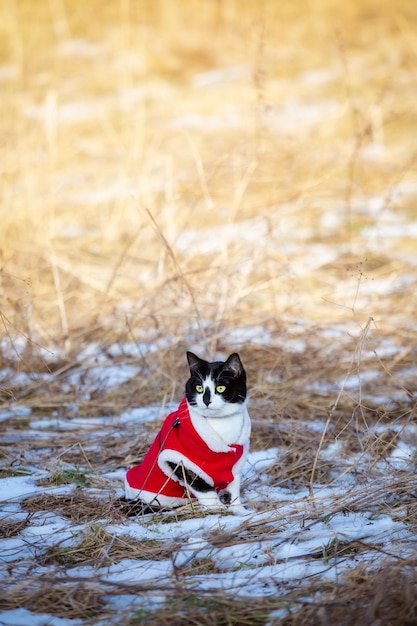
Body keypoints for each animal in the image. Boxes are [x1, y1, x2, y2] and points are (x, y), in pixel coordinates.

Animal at [124, 348, 250, 510]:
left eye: (220, 388)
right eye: (199, 387)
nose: (206, 400)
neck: (221, 423)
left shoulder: (236, 463)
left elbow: (234, 487)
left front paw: (238, 510)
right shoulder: (179, 461)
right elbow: (203, 488)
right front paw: (217, 509)